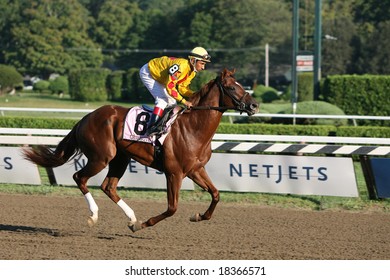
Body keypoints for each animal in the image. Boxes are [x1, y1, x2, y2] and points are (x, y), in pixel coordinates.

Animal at [22, 69, 258, 233]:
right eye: (231, 88)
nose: (254, 105)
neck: (193, 127)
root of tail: (86, 117)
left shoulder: (195, 170)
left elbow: (216, 194)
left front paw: (198, 216)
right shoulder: (174, 173)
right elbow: (172, 208)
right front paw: (143, 224)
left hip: (120, 159)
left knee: (108, 187)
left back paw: (132, 218)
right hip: (101, 157)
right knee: (79, 177)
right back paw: (95, 216)